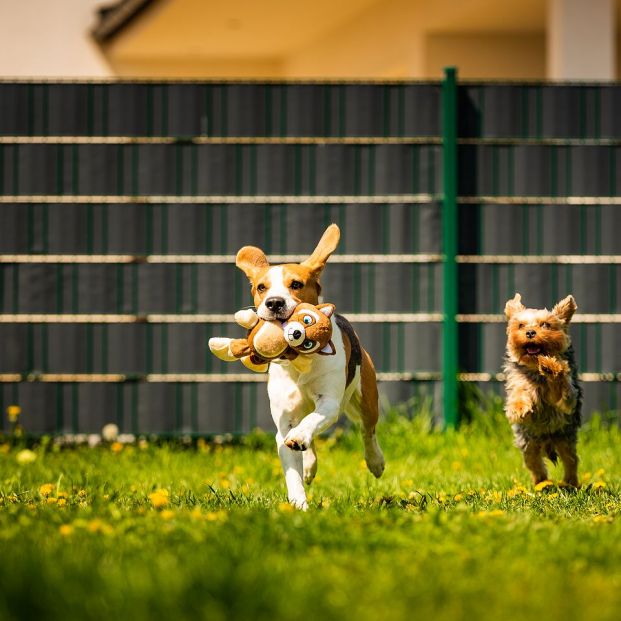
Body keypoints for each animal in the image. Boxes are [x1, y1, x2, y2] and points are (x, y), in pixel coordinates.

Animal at [236, 223, 386, 508]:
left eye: (296, 284)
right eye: (261, 287)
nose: (274, 302)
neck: (298, 361)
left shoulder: (329, 402)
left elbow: (313, 421)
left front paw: (300, 437)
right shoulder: (284, 422)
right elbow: (291, 462)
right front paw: (298, 504)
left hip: (366, 398)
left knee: (368, 431)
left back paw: (375, 461)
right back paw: (308, 464)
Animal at [504, 294, 580, 486]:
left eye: (545, 324)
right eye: (521, 325)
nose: (530, 332)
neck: (534, 368)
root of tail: (546, 441)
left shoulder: (568, 397)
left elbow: (561, 388)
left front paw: (550, 366)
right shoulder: (519, 381)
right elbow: (520, 393)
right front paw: (518, 407)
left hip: (565, 437)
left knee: (571, 460)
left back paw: (570, 483)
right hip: (528, 443)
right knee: (535, 464)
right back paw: (541, 484)